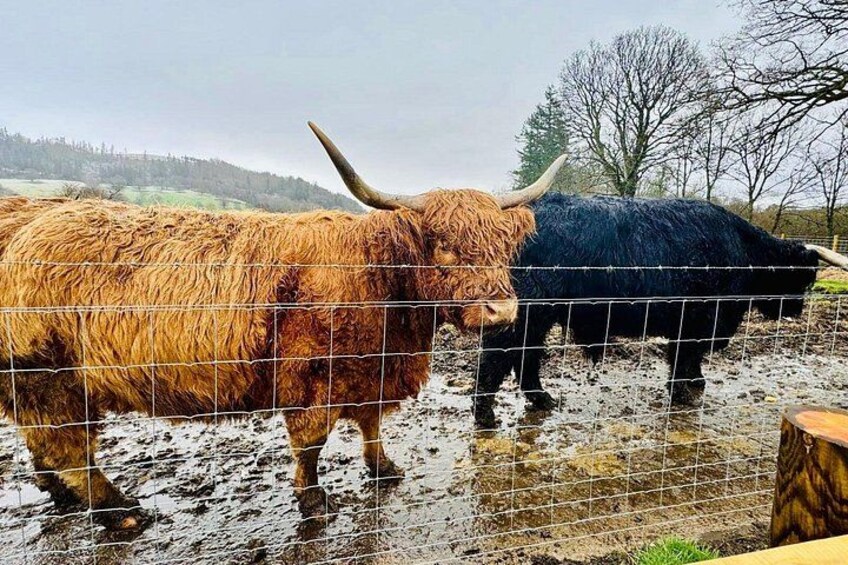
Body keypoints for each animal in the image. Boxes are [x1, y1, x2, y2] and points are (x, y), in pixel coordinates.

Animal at [0, 123, 566, 529]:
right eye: (445, 243)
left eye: (502, 245)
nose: (502, 311)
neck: (380, 282)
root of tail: (24, 214)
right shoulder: (313, 378)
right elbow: (311, 443)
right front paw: (314, 500)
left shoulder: (370, 373)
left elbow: (371, 426)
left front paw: (384, 469)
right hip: (49, 378)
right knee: (69, 449)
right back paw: (120, 511)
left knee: (45, 446)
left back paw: (64, 499)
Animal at [472, 193, 848, 429]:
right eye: (804, 278)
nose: (797, 308)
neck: (744, 253)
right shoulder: (697, 319)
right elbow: (683, 356)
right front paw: (683, 393)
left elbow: (691, 358)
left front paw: (696, 383)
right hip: (527, 311)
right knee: (498, 354)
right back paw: (485, 415)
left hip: (539, 315)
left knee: (526, 355)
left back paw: (542, 399)